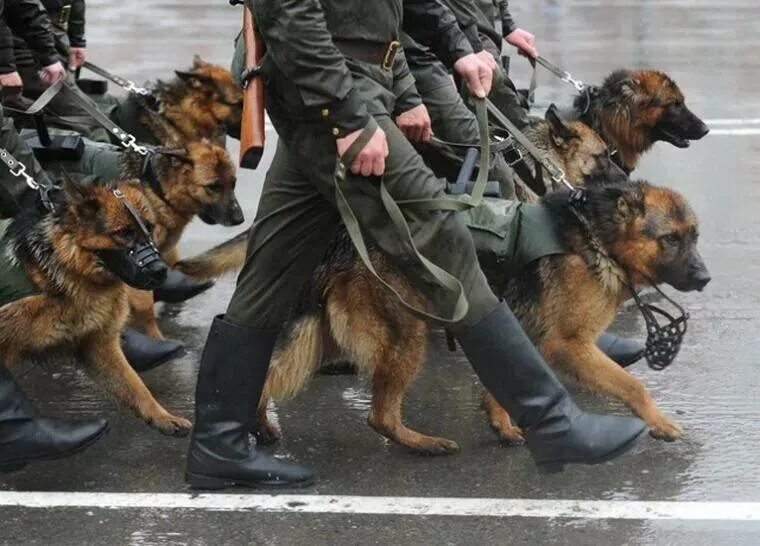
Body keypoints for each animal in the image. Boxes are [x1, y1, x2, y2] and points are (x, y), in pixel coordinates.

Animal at [0, 177, 193, 434]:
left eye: (149, 228)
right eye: (123, 233)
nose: (161, 271)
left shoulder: (99, 347)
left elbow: (136, 386)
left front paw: (162, 417)